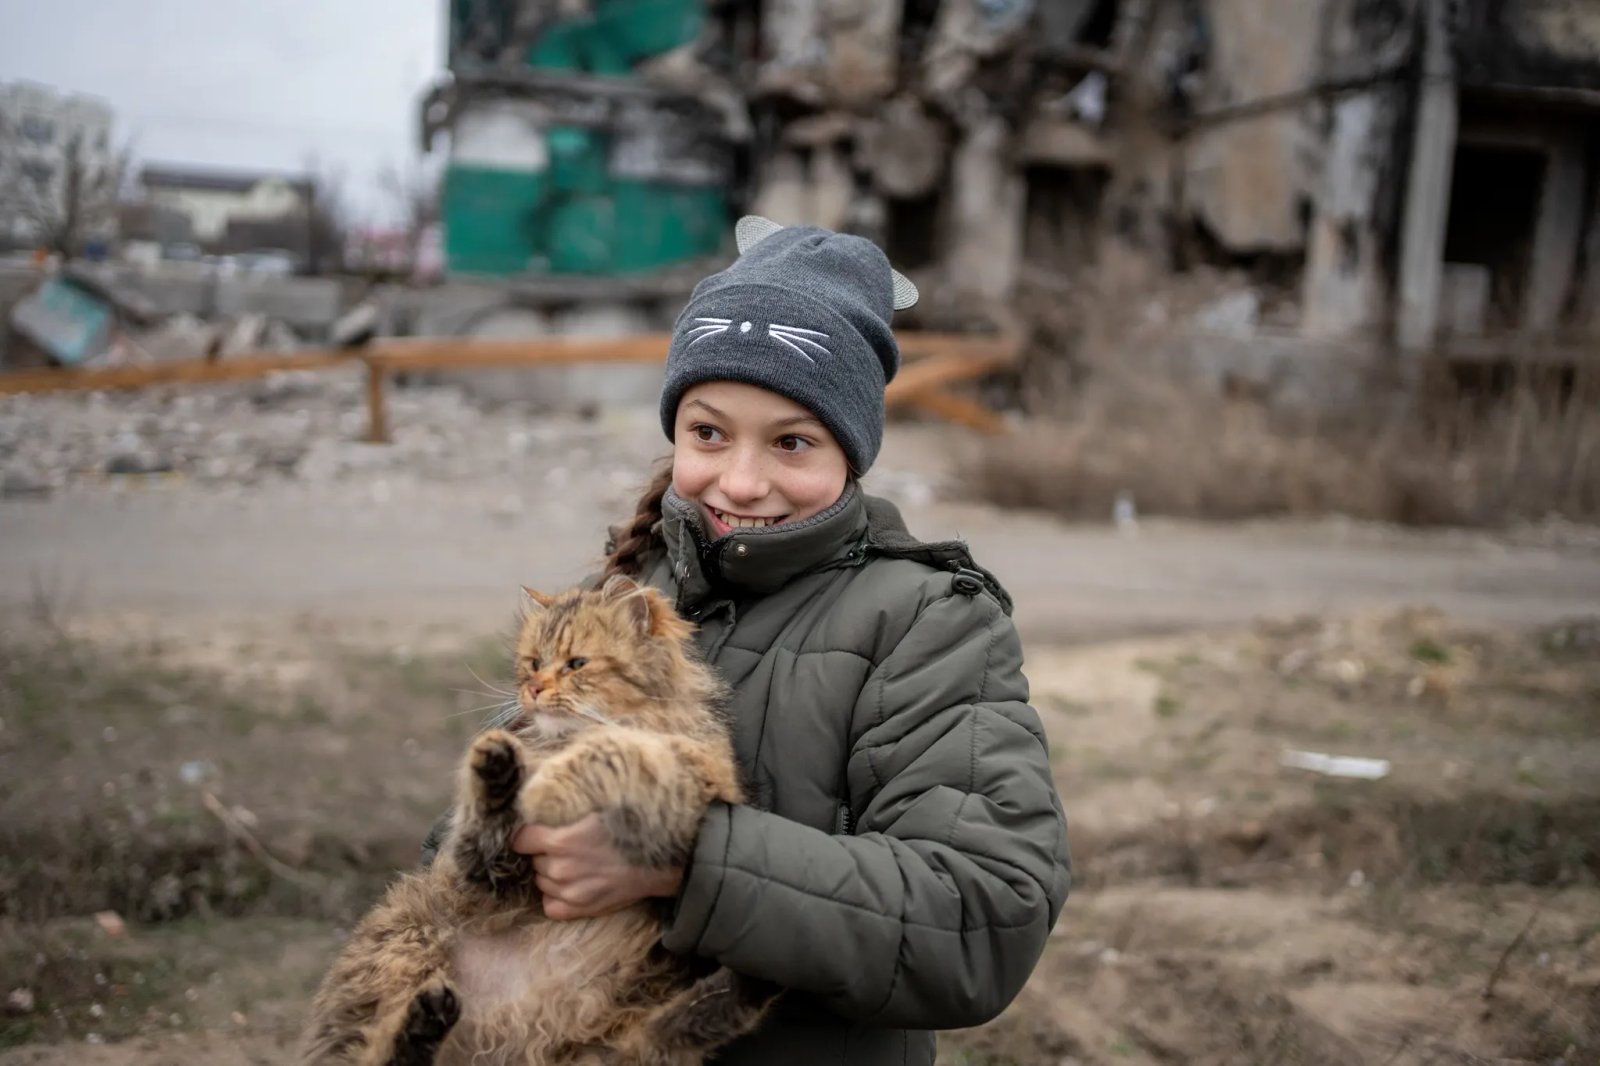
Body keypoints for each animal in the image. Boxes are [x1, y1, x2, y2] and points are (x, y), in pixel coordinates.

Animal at [302, 576, 777, 1056]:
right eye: (533, 663)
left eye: (576, 664)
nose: (534, 689)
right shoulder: (490, 871)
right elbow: (483, 826)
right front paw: (500, 767)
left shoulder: (694, 778)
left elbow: (613, 750)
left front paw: (546, 784)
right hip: (406, 948)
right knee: (378, 1046)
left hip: (621, 1040)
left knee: (681, 1024)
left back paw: (758, 982)